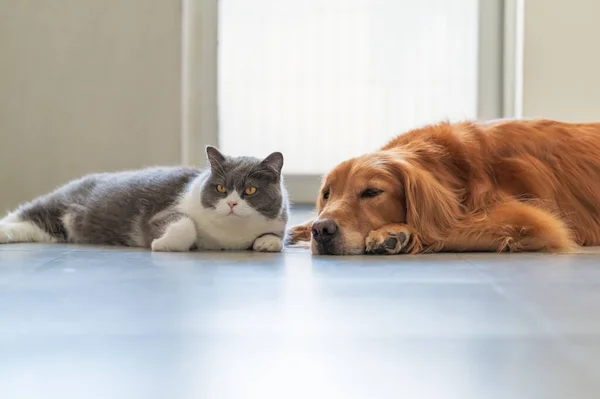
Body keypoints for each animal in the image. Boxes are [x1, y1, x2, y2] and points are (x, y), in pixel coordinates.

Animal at [0, 147, 290, 253]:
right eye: (220, 188)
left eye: (250, 191)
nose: (231, 203)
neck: (228, 238)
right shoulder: (158, 215)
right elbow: (185, 225)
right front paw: (162, 244)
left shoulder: (279, 223)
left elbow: (276, 237)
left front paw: (266, 243)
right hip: (57, 207)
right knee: (22, 214)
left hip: (55, 229)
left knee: (30, 227)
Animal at [286, 119, 600, 256]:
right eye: (327, 195)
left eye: (372, 192)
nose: (322, 230)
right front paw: (298, 229)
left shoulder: (535, 222)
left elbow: (444, 229)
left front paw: (395, 234)